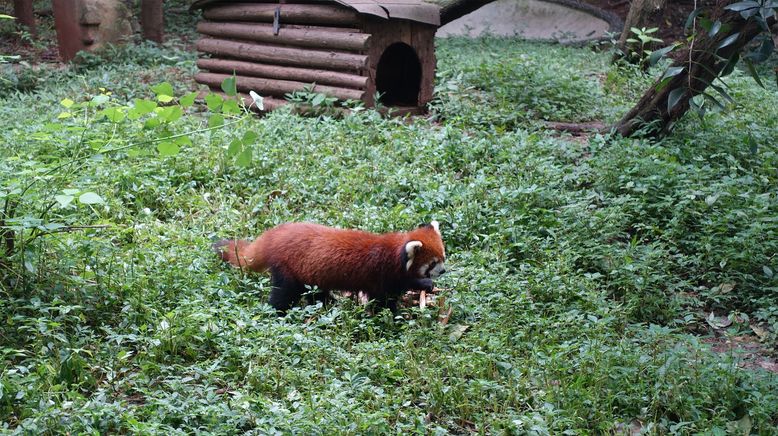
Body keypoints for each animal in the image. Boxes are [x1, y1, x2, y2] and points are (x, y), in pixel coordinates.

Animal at [212, 221, 446, 314]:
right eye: (433, 263)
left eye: (444, 257)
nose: (443, 271)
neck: (394, 253)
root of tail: (275, 236)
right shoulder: (381, 276)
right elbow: (383, 302)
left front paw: (426, 284)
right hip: (288, 270)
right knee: (283, 295)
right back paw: (279, 313)